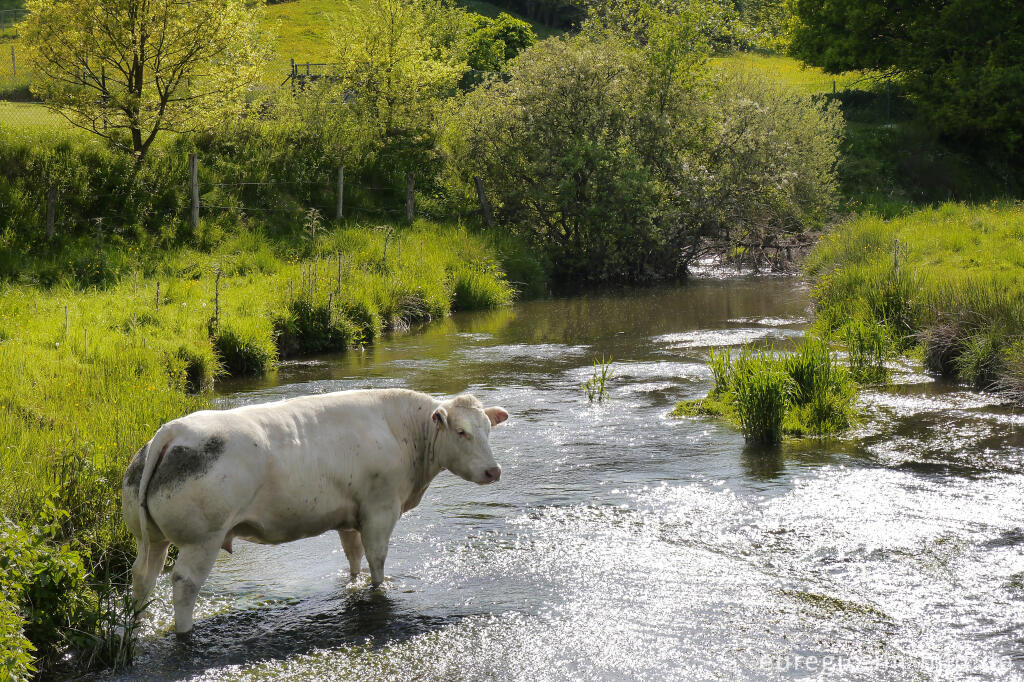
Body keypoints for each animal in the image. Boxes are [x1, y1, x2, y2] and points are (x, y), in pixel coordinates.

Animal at [121, 387, 505, 630]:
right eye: (461, 432)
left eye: (489, 428)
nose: (493, 471)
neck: (406, 434)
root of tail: (172, 430)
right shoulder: (380, 509)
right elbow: (377, 559)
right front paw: (380, 590)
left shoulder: (350, 515)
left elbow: (353, 557)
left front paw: (352, 585)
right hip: (203, 538)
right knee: (184, 584)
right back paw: (184, 632)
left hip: (151, 538)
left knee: (143, 578)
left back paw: (138, 626)